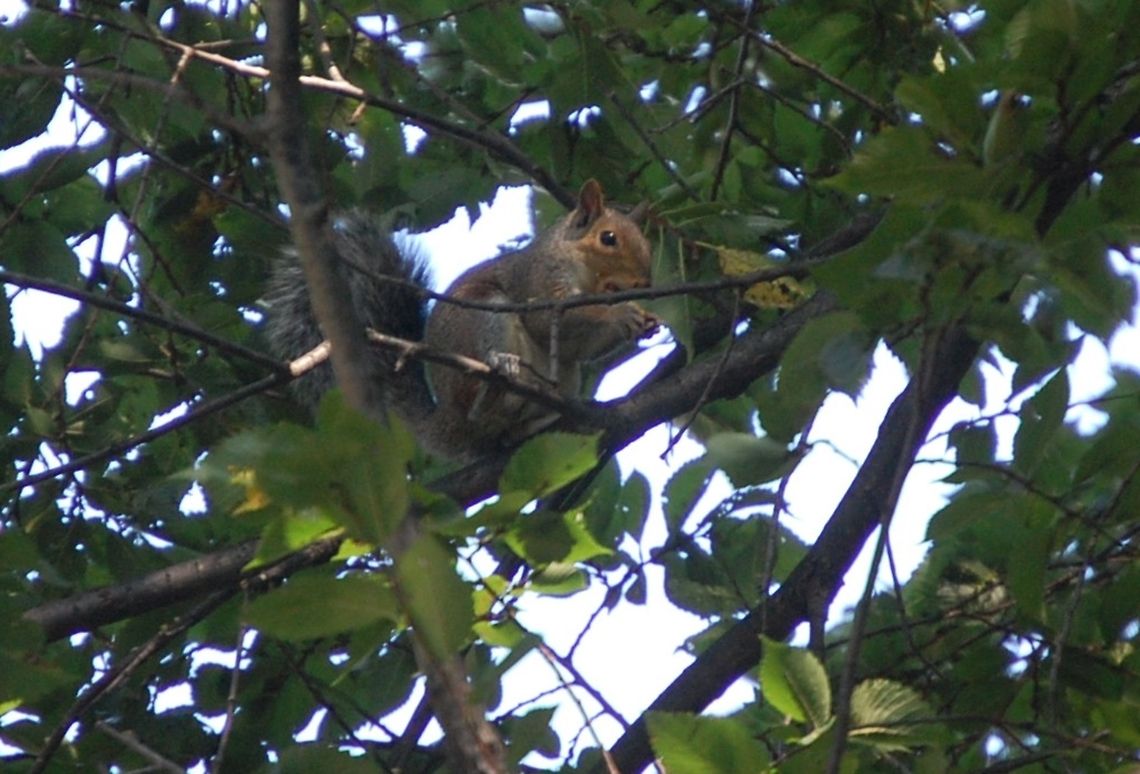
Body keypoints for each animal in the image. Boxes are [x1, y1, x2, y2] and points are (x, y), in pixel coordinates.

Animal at [266, 180, 661, 462]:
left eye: (647, 243)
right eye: (608, 238)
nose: (644, 283)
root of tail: (447, 423)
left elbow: (579, 348)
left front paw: (643, 321)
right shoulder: (539, 281)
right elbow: (549, 320)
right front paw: (621, 313)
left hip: (564, 376)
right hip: (486, 319)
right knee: (482, 410)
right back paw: (499, 379)